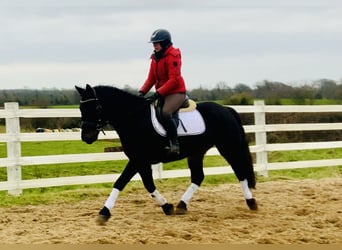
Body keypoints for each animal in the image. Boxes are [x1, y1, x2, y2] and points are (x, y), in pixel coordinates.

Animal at [75, 84, 256, 225]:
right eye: (81, 108)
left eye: (95, 108)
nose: (86, 137)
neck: (134, 118)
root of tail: (226, 109)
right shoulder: (140, 160)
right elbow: (143, 184)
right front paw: (167, 206)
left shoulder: (138, 159)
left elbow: (124, 182)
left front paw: (104, 212)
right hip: (197, 152)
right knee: (198, 176)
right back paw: (181, 205)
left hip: (228, 147)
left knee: (240, 172)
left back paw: (251, 203)